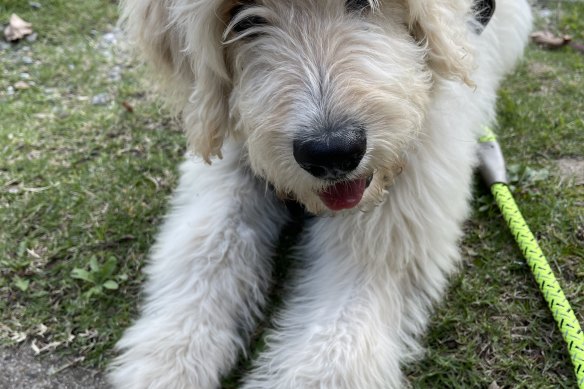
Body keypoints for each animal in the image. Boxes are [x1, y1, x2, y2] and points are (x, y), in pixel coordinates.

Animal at [109, 1, 532, 386]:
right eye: (242, 16)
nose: (332, 153)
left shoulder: (392, 225)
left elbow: (335, 353)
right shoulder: (232, 162)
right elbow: (208, 248)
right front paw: (169, 359)